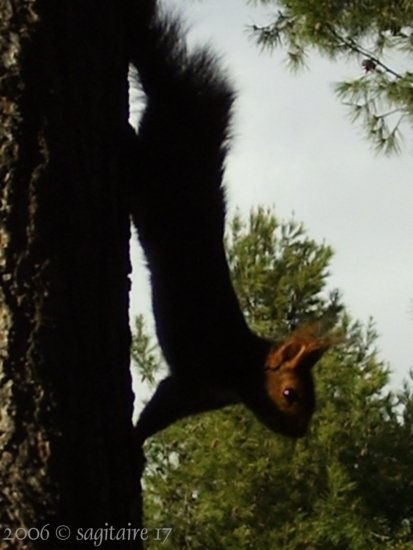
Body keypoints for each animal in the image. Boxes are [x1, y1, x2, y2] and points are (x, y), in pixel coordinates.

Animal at [125, 0, 332, 444]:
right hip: (150, 167)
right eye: (290, 394)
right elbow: (156, 408)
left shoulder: (198, 396)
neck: (242, 368)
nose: (299, 434)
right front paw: (132, 441)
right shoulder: (191, 379)